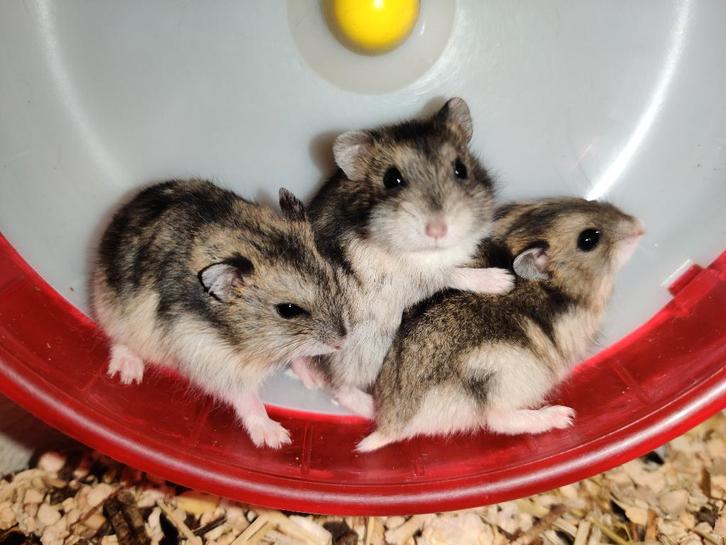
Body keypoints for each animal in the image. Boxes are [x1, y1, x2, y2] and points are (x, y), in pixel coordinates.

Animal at [92, 179, 348, 449]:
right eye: (287, 310)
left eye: (332, 274)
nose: (343, 342)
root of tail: (124, 209)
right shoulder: (210, 360)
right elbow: (245, 397)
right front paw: (277, 439)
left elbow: (295, 354)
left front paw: (316, 381)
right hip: (115, 312)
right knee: (119, 339)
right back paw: (129, 374)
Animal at [297, 98, 513, 416]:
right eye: (392, 179)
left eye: (461, 169)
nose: (438, 229)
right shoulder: (413, 277)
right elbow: (454, 273)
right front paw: (504, 281)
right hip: (365, 344)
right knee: (338, 386)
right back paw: (372, 411)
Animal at [358, 198, 644, 452]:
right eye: (589, 239)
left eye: (590, 200)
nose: (640, 226)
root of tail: (391, 426)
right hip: (507, 376)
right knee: (499, 420)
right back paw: (562, 416)